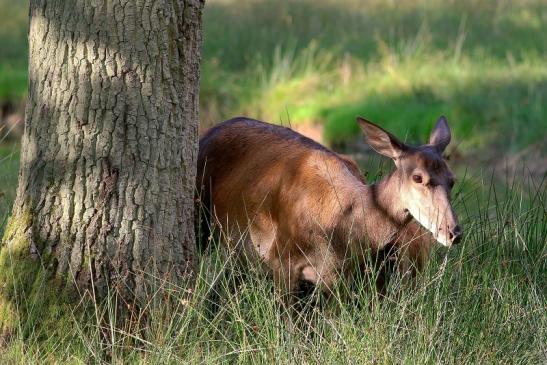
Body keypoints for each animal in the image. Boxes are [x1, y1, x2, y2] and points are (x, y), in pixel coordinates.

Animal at [197, 116, 462, 298]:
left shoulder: (341, 277)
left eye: (452, 179)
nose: (453, 232)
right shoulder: (280, 257)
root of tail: (207, 131)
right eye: (418, 177)